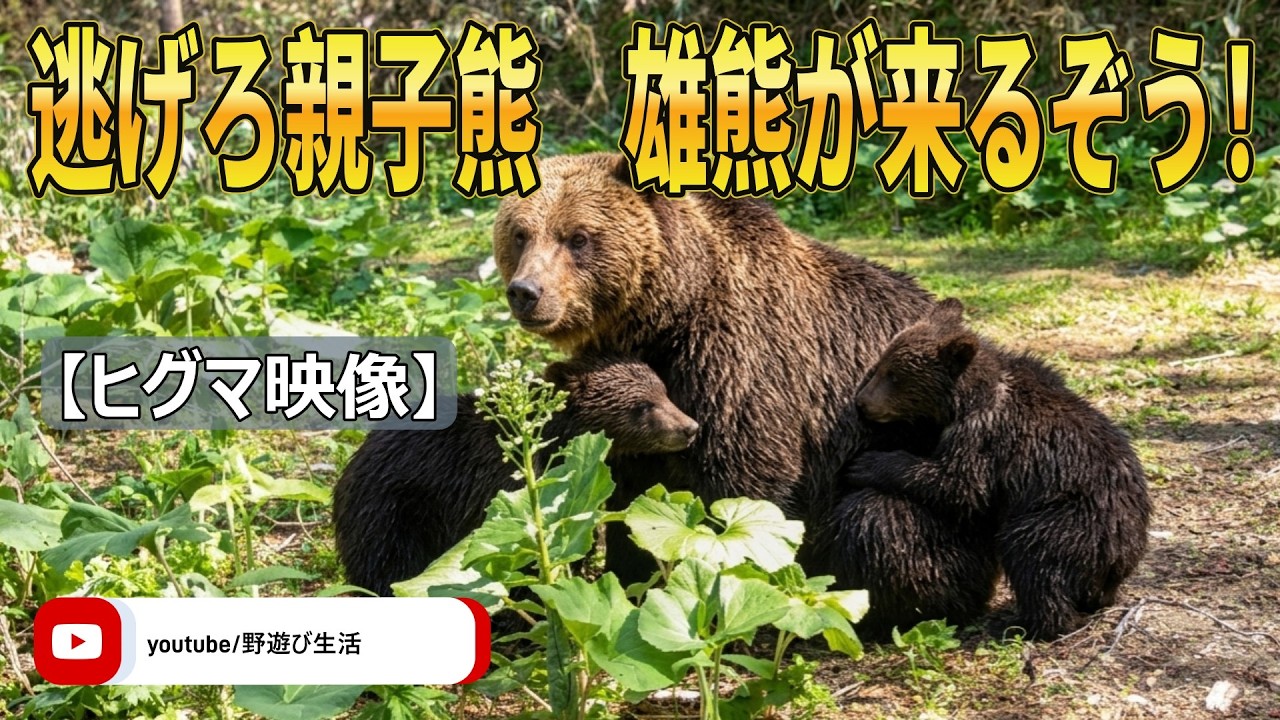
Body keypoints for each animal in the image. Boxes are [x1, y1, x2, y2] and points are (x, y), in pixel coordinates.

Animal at [333, 355, 699, 597]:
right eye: (643, 406)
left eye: (663, 392)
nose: (689, 427)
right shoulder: (496, 485)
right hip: (394, 512)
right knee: (390, 566)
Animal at [491, 153, 936, 581]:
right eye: (520, 233)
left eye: (578, 236)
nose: (526, 292)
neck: (666, 315)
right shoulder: (631, 409)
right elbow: (629, 495)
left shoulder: (736, 361)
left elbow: (744, 482)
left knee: (879, 518)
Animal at [843, 298, 1152, 638]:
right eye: (882, 365)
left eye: (895, 376)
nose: (862, 402)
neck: (965, 398)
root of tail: (1124, 552)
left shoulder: (983, 434)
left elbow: (960, 485)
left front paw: (868, 463)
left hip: (1068, 518)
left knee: (1032, 557)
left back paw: (1028, 622)